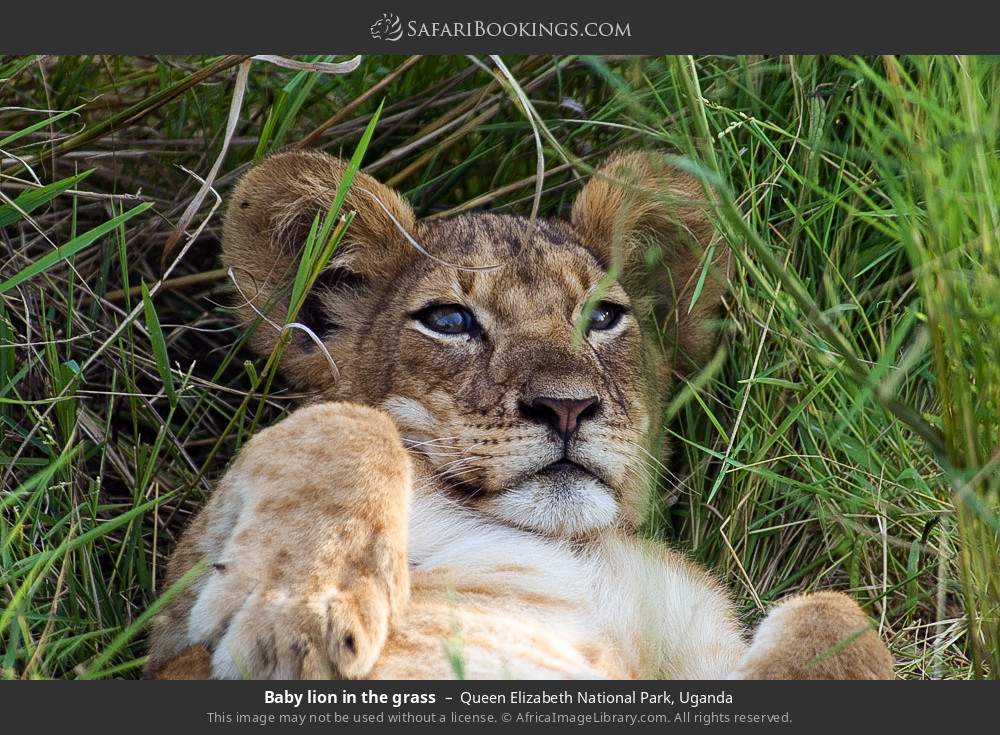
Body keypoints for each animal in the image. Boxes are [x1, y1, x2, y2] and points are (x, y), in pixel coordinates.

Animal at [145, 149, 893, 680]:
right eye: (449, 320)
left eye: (604, 317)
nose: (567, 406)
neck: (577, 550)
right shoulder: (171, 637)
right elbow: (348, 423)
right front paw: (296, 620)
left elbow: (844, 616)